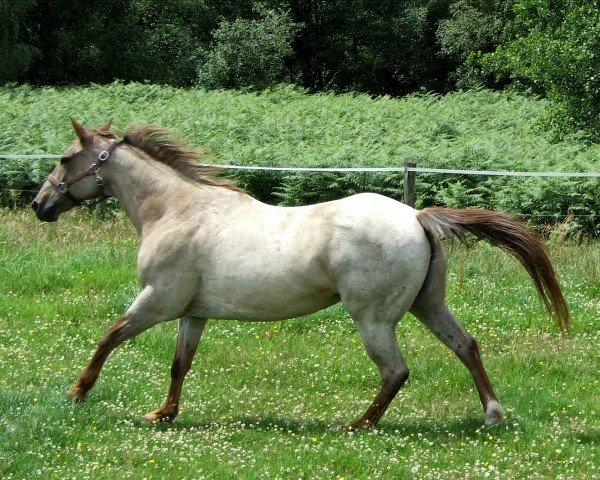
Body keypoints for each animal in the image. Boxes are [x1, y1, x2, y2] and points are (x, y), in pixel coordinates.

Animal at [30, 120, 568, 428]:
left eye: (64, 158)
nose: (40, 205)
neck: (176, 210)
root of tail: (417, 217)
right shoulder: (191, 312)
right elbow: (180, 364)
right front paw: (164, 413)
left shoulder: (156, 300)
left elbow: (109, 336)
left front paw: (78, 391)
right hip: (427, 306)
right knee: (466, 346)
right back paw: (492, 414)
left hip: (373, 319)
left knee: (396, 371)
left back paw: (358, 425)